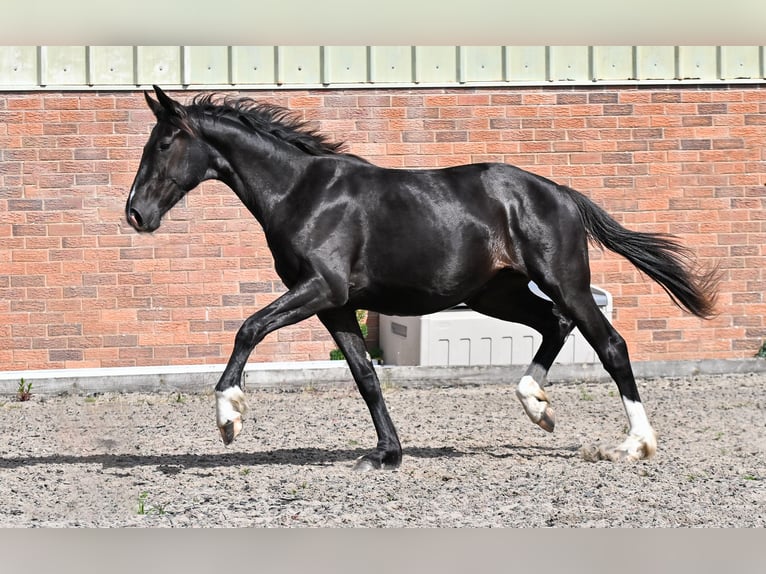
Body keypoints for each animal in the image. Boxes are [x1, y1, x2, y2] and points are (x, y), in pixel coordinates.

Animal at [125, 85, 719, 470]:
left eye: (164, 143)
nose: (135, 214)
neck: (302, 194)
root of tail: (560, 193)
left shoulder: (321, 289)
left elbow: (248, 327)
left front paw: (229, 417)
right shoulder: (334, 305)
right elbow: (364, 375)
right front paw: (386, 454)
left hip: (563, 282)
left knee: (610, 343)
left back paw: (634, 445)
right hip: (496, 292)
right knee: (554, 325)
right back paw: (537, 407)